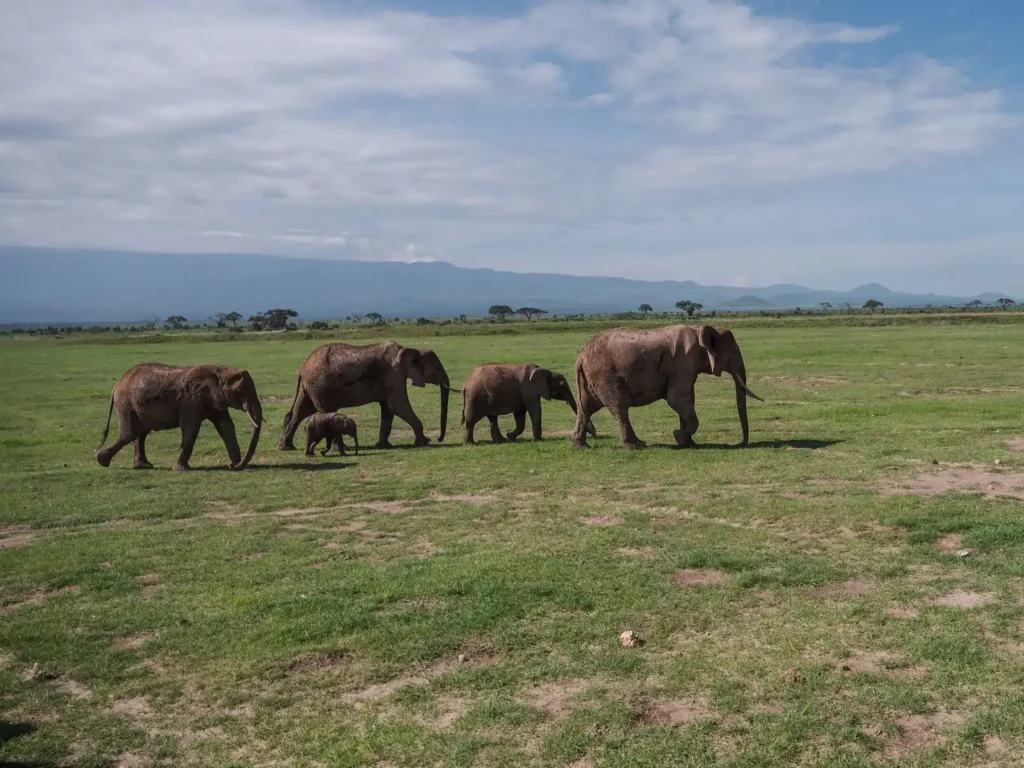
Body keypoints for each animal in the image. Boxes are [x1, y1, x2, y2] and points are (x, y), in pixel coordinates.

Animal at [96, 363, 263, 470]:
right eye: (240, 390)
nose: (231, 466)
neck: (221, 370)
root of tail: (116, 385)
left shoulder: (214, 399)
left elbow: (226, 426)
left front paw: (238, 465)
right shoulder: (191, 400)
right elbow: (191, 428)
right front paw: (181, 469)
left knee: (140, 433)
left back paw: (143, 466)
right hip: (126, 404)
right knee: (130, 433)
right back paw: (101, 460)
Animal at [279, 341, 453, 451]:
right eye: (436, 367)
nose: (439, 439)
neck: (410, 349)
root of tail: (302, 368)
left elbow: (388, 409)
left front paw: (383, 446)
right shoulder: (394, 374)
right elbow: (397, 405)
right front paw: (424, 442)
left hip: (309, 388)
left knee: (299, 413)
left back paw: (286, 447)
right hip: (319, 387)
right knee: (324, 411)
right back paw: (340, 449)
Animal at [461, 362, 596, 444]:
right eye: (562, 385)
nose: (595, 435)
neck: (544, 370)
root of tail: (466, 382)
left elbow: (520, 414)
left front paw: (511, 437)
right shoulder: (529, 389)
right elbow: (535, 410)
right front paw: (539, 439)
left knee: (492, 418)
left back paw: (502, 440)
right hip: (475, 396)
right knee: (471, 419)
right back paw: (470, 444)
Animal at [571, 325, 762, 449]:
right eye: (733, 352)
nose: (740, 443)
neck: (700, 329)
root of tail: (580, 357)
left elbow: (686, 400)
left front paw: (688, 443)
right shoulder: (683, 362)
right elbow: (677, 400)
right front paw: (679, 436)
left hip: (591, 379)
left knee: (586, 408)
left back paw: (581, 446)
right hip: (605, 376)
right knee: (619, 407)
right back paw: (636, 445)